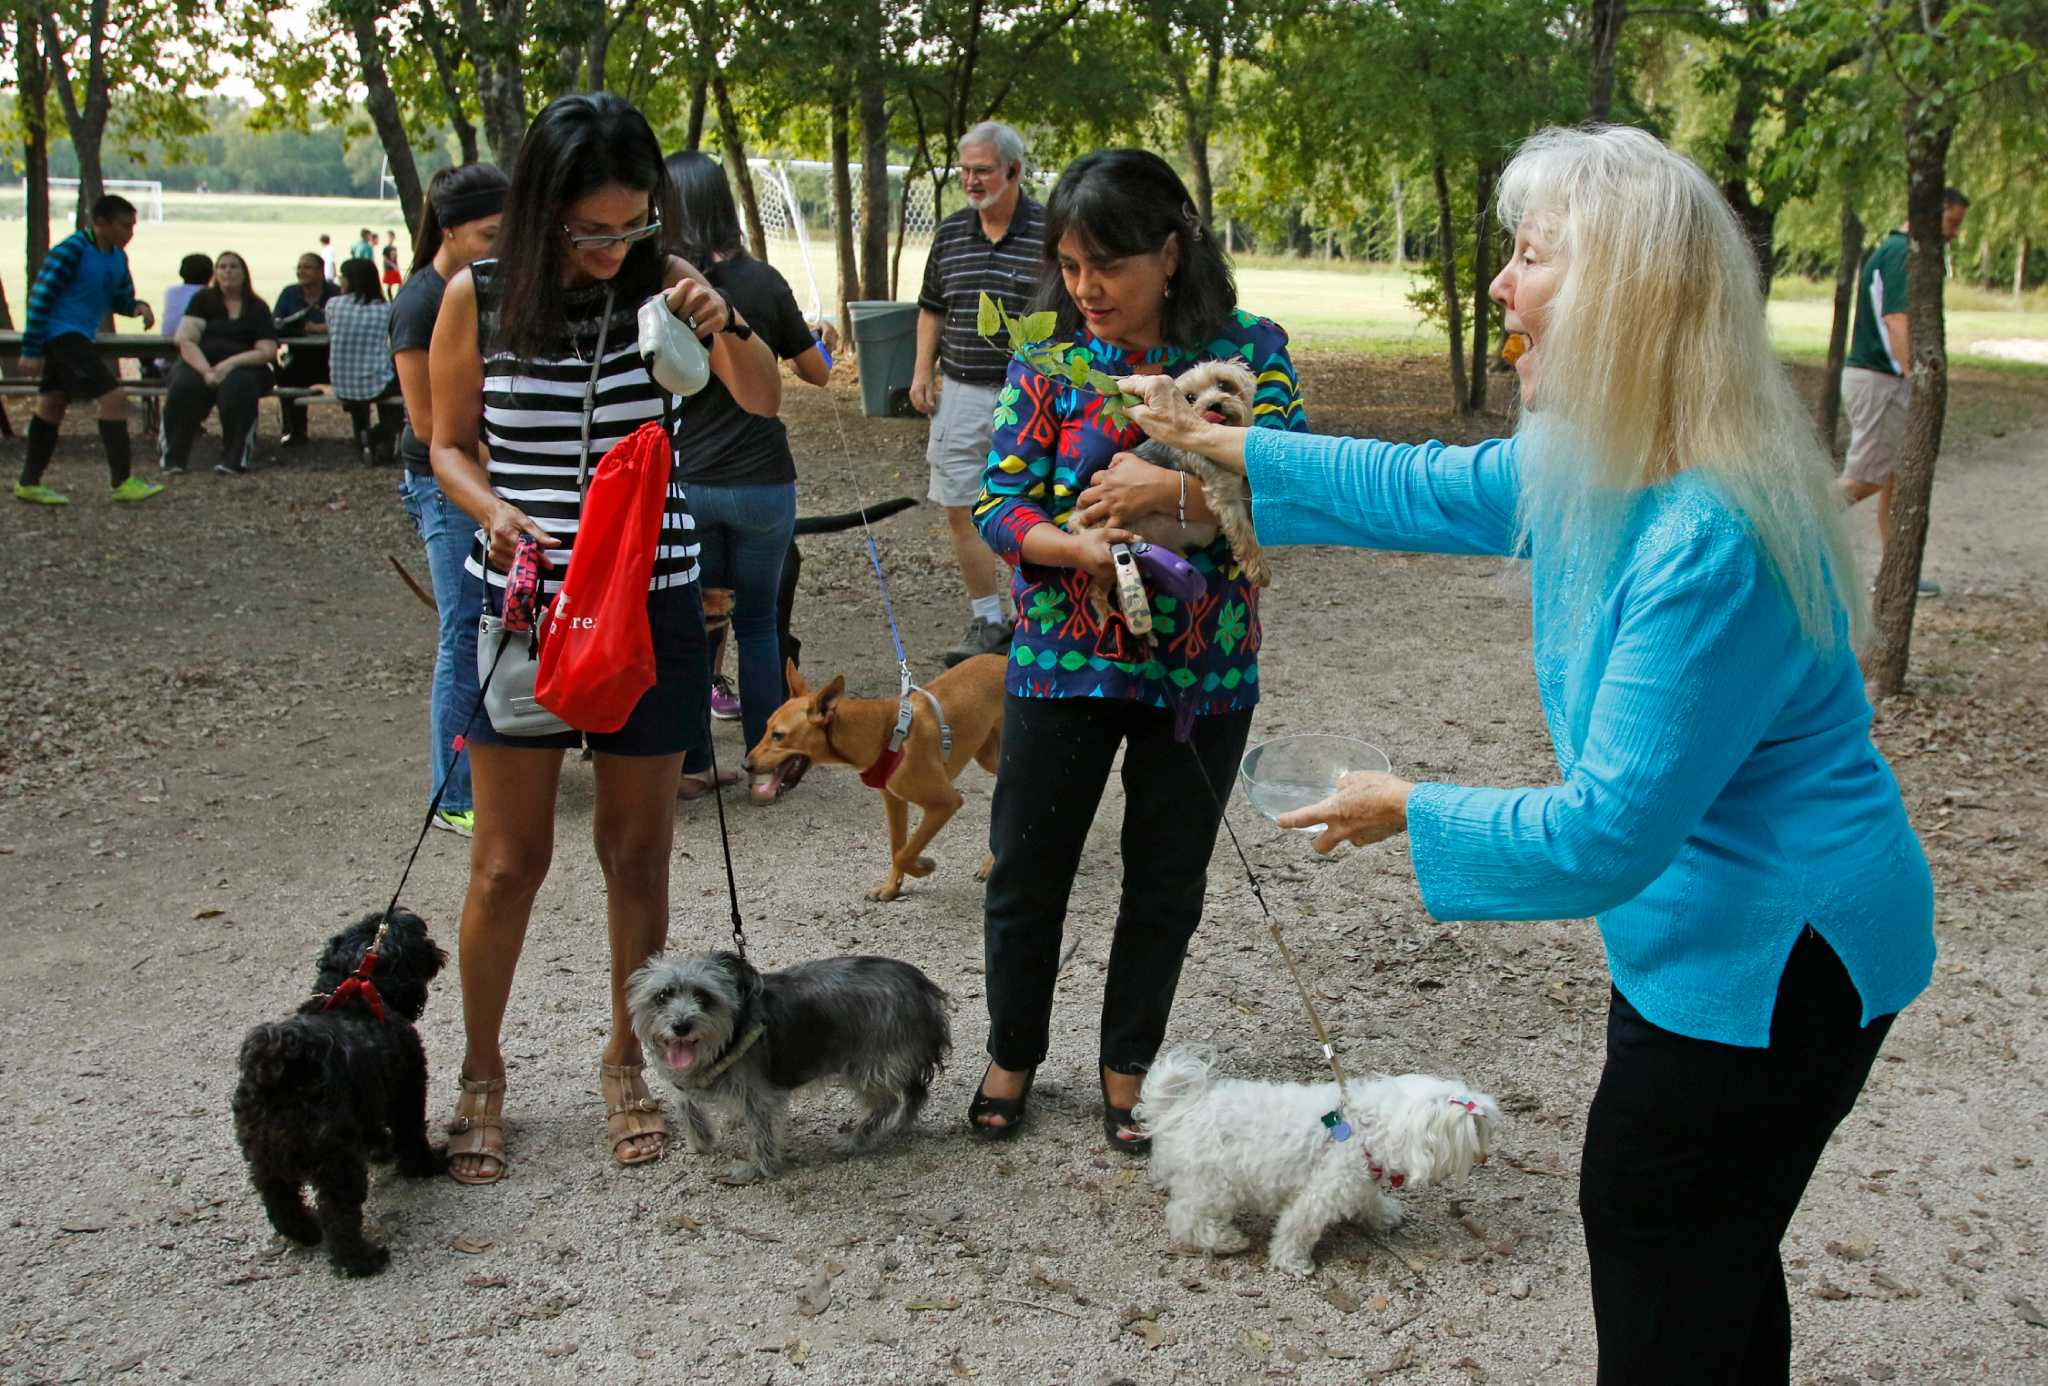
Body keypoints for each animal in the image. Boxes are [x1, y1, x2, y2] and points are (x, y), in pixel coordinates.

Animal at [235, 908, 452, 1277]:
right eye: (421, 937)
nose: (436, 949)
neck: (356, 995)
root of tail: (282, 1064)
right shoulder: (409, 1087)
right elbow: (412, 1134)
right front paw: (427, 1164)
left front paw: (382, 1150)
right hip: (335, 1161)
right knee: (338, 1213)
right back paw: (361, 1259)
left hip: (264, 1158)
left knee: (279, 1201)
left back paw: (306, 1232)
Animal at [1130, 1048, 1499, 1277]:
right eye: (1474, 1130)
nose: (1485, 1155)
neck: (1366, 1128)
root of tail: (1183, 1105)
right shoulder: (1321, 1193)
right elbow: (1297, 1227)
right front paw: (1292, 1262)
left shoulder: (1358, 1180)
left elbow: (1369, 1199)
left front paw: (1385, 1214)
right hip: (1213, 1185)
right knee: (1186, 1218)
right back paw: (1226, 1240)